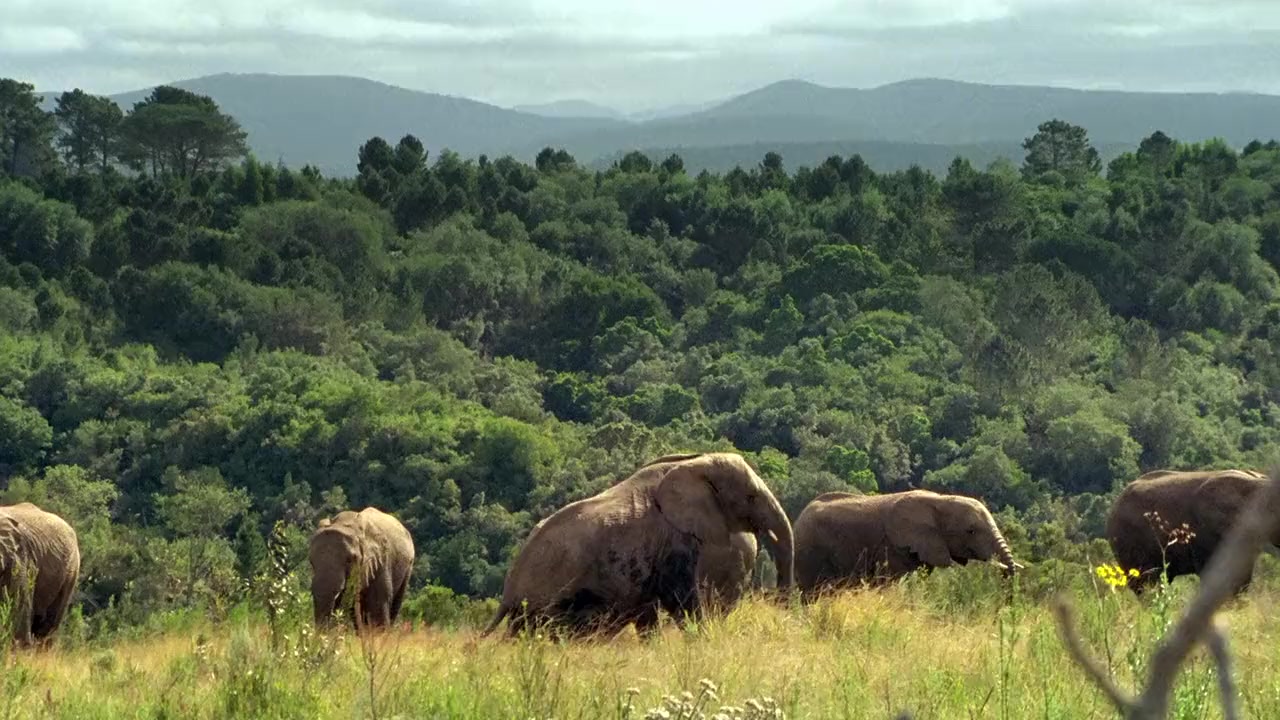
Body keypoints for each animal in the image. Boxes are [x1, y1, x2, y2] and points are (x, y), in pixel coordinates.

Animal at [482, 452, 794, 638]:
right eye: (751, 497)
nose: (779, 600)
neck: (696, 461)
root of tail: (509, 589)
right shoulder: (673, 539)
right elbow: (681, 600)